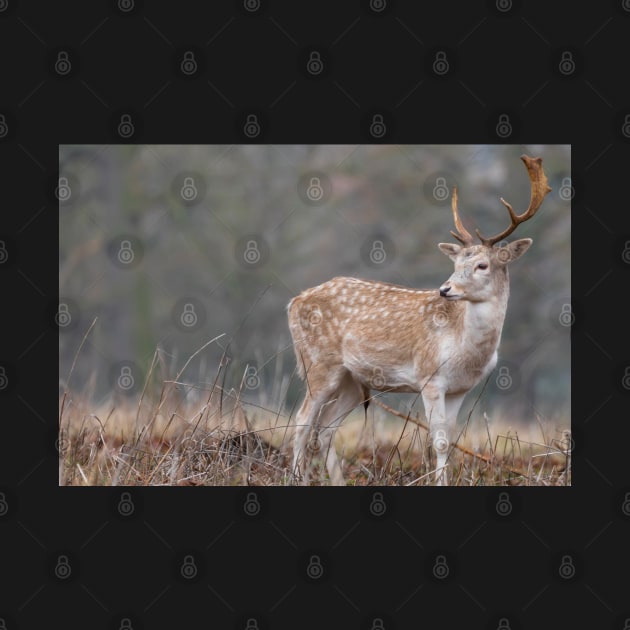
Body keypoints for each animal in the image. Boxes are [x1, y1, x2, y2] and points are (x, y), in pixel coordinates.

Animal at [288, 154, 552, 488]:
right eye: (455, 263)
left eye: (482, 265)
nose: (445, 289)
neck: (466, 351)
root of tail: (294, 301)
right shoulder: (430, 377)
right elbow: (437, 441)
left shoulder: (460, 389)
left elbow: (450, 440)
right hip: (318, 363)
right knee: (301, 421)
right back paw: (295, 478)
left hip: (352, 379)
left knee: (324, 430)